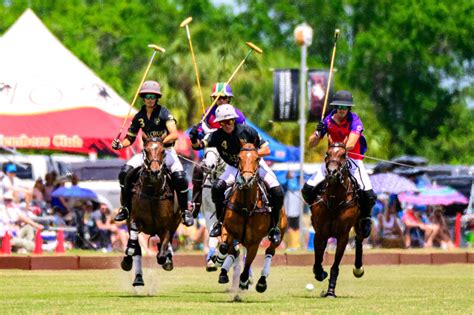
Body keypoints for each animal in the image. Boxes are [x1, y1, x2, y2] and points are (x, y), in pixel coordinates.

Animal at [120, 137, 181, 288]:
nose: (154, 172)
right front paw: (127, 258)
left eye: (163, 151)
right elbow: (133, 245)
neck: (153, 191)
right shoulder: (134, 220)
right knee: (137, 250)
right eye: (145, 150)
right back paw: (138, 278)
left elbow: (162, 253)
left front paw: (166, 259)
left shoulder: (166, 227)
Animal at [216, 142, 288, 296]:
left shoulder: (254, 241)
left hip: (279, 233)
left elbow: (248, 261)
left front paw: (244, 280)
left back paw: (261, 282)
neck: (246, 206)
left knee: (270, 251)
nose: (247, 180)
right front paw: (219, 263)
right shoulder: (228, 229)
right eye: (239, 158)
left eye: (257, 159)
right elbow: (225, 246)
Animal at [310, 143, 364, 298]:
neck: (334, 200)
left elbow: (335, 266)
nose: (332, 173)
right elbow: (318, 258)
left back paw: (358, 268)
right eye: (327, 153)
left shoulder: (343, 236)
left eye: (343, 155)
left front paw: (330, 291)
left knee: (359, 238)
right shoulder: (319, 233)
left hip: (359, 224)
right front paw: (320, 273)